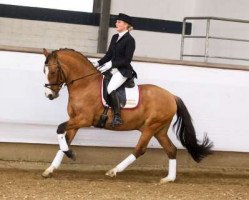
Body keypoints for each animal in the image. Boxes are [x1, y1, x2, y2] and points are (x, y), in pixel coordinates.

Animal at [40, 48, 212, 183]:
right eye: (44, 71)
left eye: (53, 72)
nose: (49, 95)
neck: (84, 84)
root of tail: (171, 96)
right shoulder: (75, 120)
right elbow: (65, 139)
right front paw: (51, 168)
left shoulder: (84, 119)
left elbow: (59, 128)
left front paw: (70, 154)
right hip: (159, 130)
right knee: (171, 149)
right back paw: (169, 179)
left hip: (151, 127)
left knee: (140, 149)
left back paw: (114, 171)